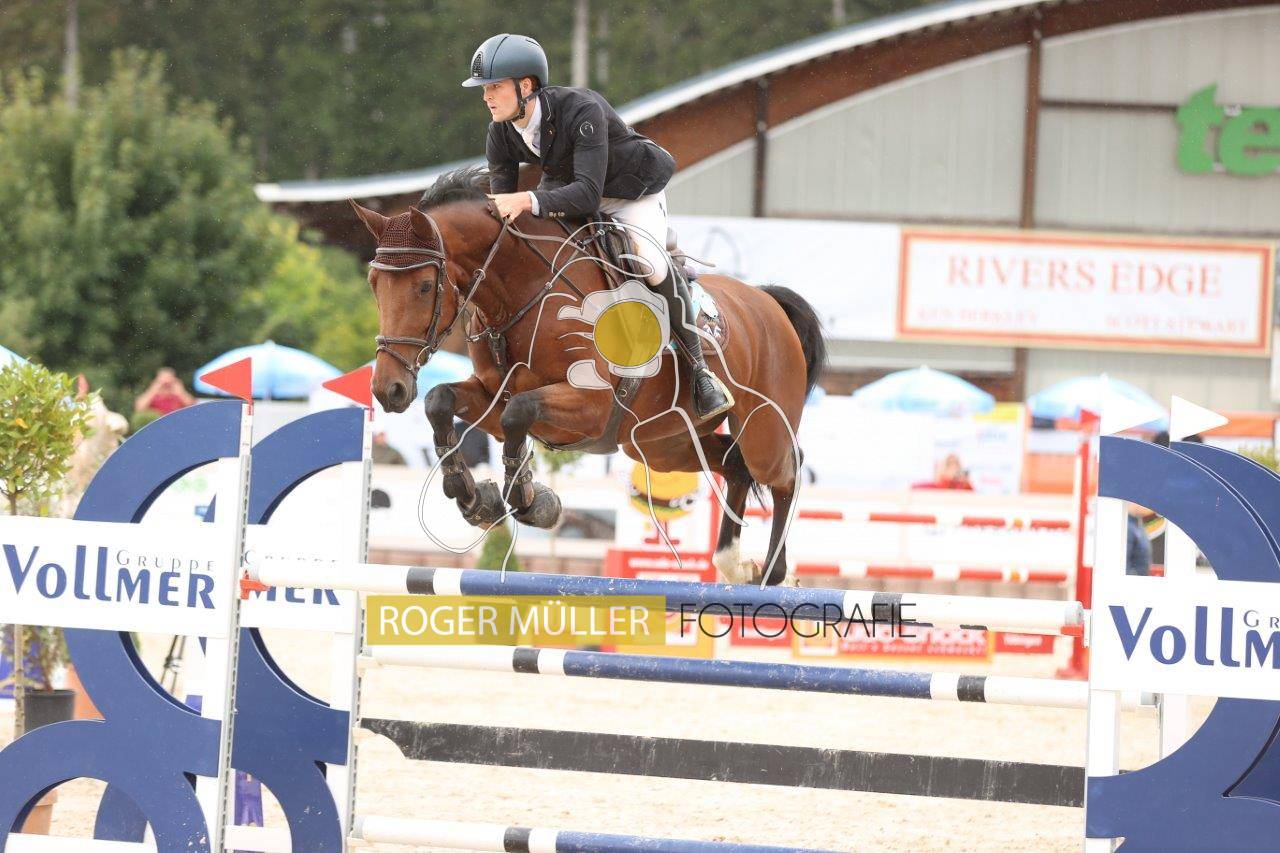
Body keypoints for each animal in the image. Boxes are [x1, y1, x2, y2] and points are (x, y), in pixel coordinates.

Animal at [350, 167, 825, 585]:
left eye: (424, 287)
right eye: (373, 283)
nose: (388, 390)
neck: (522, 293)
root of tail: (768, 302)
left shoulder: (591, 407)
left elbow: (518, 413)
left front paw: (529, 501)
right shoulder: (492, 395)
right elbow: (443, 402)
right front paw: (476, 498)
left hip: (762, 428)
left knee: (785, 469)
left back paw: (774, 572)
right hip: (660, 443)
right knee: (735, 464)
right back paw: (733, 564)